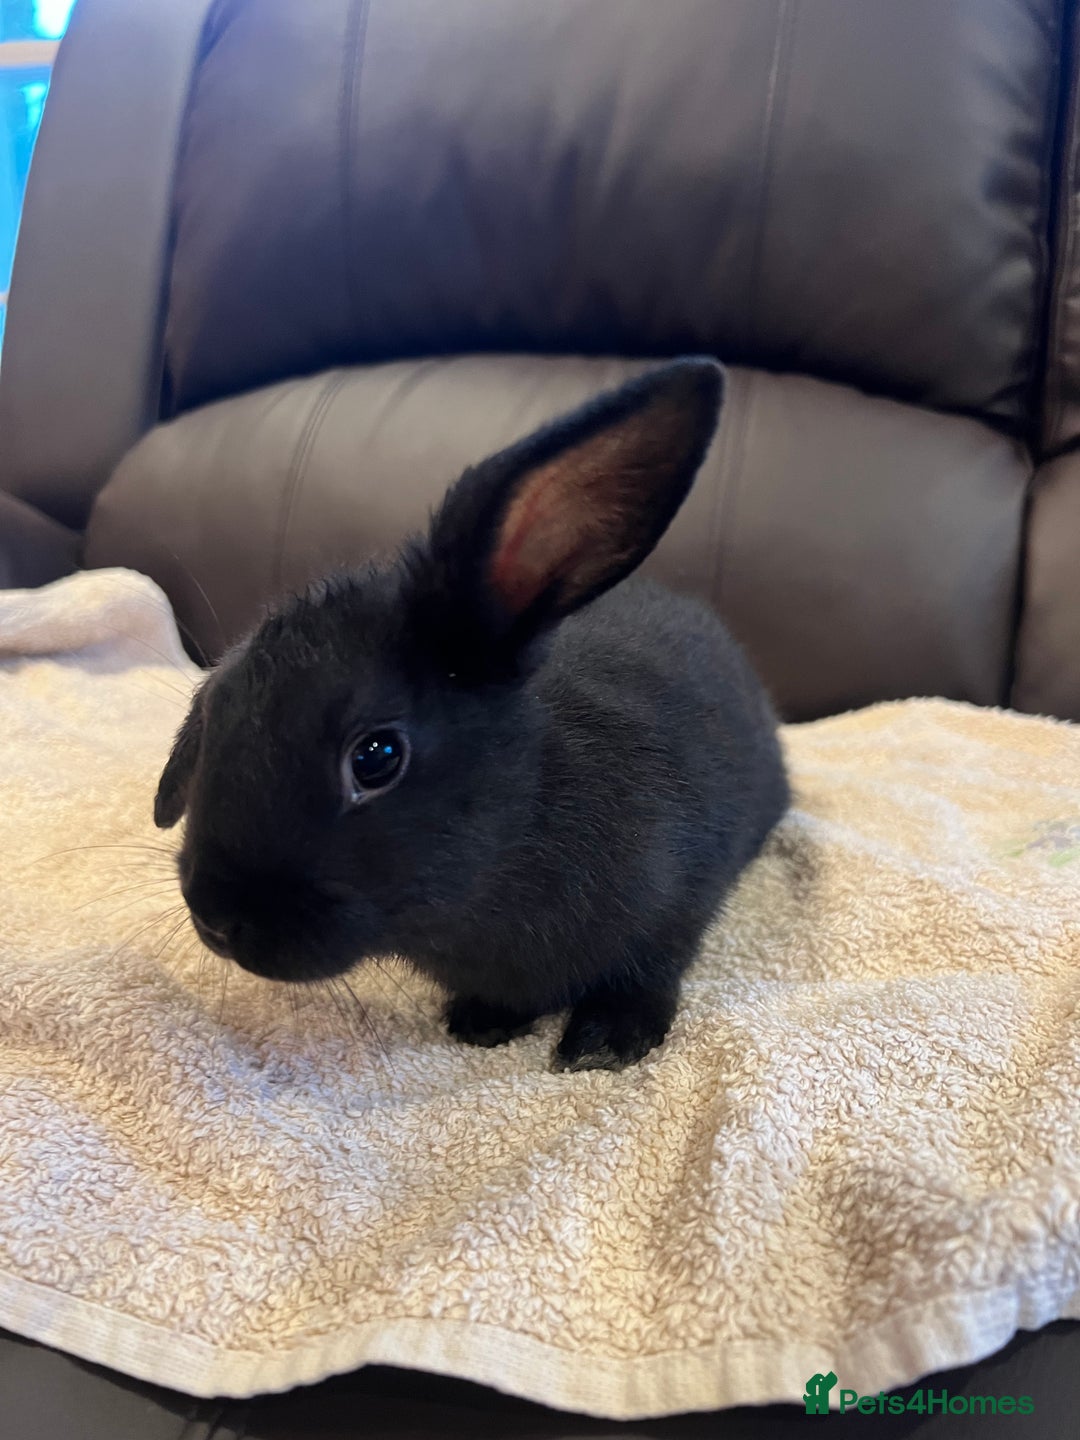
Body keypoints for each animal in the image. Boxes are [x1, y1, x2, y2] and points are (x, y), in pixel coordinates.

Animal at [154, 358, 790, 1072]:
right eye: (217, 707)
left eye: (376, 757)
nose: (215, 917)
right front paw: (483, 1022)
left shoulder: (677, 907)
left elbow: (650, 971)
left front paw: (604, 1045)